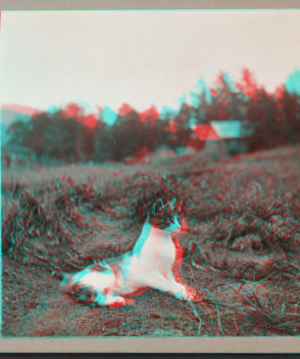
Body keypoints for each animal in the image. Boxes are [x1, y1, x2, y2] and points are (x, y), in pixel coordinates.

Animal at [53, 198, 199, 308]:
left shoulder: (167, 271)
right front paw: (187, 294)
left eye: (178, 220)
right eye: (169, 221)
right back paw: (125, 302)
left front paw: (189, 291)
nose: (181, 227)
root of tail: (73, 276)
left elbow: (176, 283)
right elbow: (169, 284)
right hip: (108, 275)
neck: (165, 242)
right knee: (96, 298)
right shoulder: (152, 275)